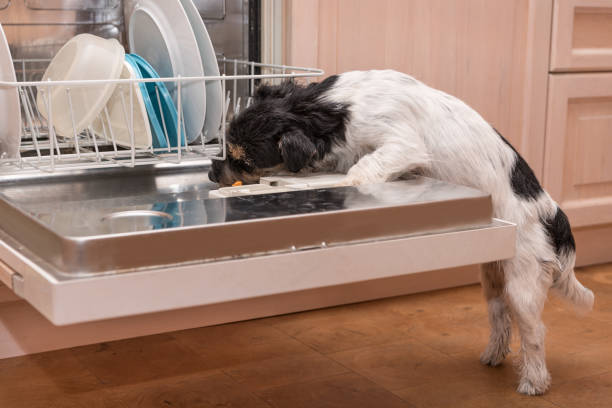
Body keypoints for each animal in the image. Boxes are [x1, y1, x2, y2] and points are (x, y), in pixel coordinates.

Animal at [209, 70, 592, 396]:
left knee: (534, 332)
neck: (331, 108)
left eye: (244, 162)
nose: (212, 172)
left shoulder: (401, 144)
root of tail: (555, 216)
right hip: (494, 276)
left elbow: (366, 166)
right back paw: (493, 356)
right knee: (500, 316)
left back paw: (533, 382)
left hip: (524, 279)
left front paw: (347, 180)